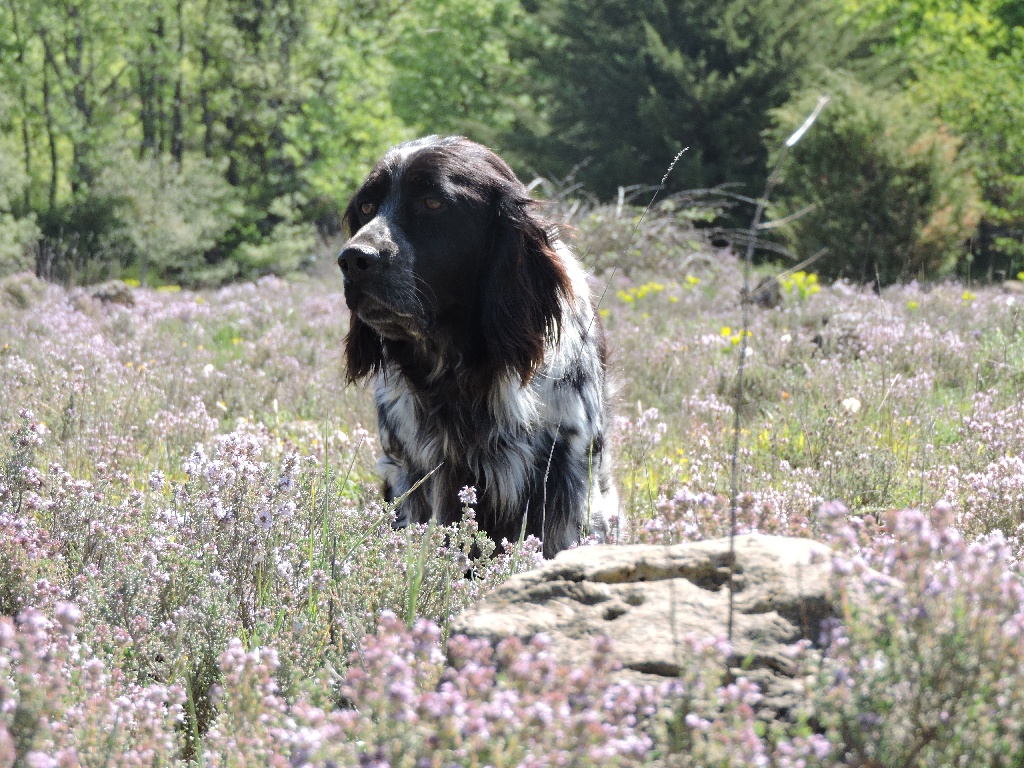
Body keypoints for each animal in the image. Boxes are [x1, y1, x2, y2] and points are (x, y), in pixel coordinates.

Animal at [337, 137, 614, 561]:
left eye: (433, 202)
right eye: (366, 208)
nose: (353, 259)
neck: (464, 372)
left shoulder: (566, 473)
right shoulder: (415, 470)